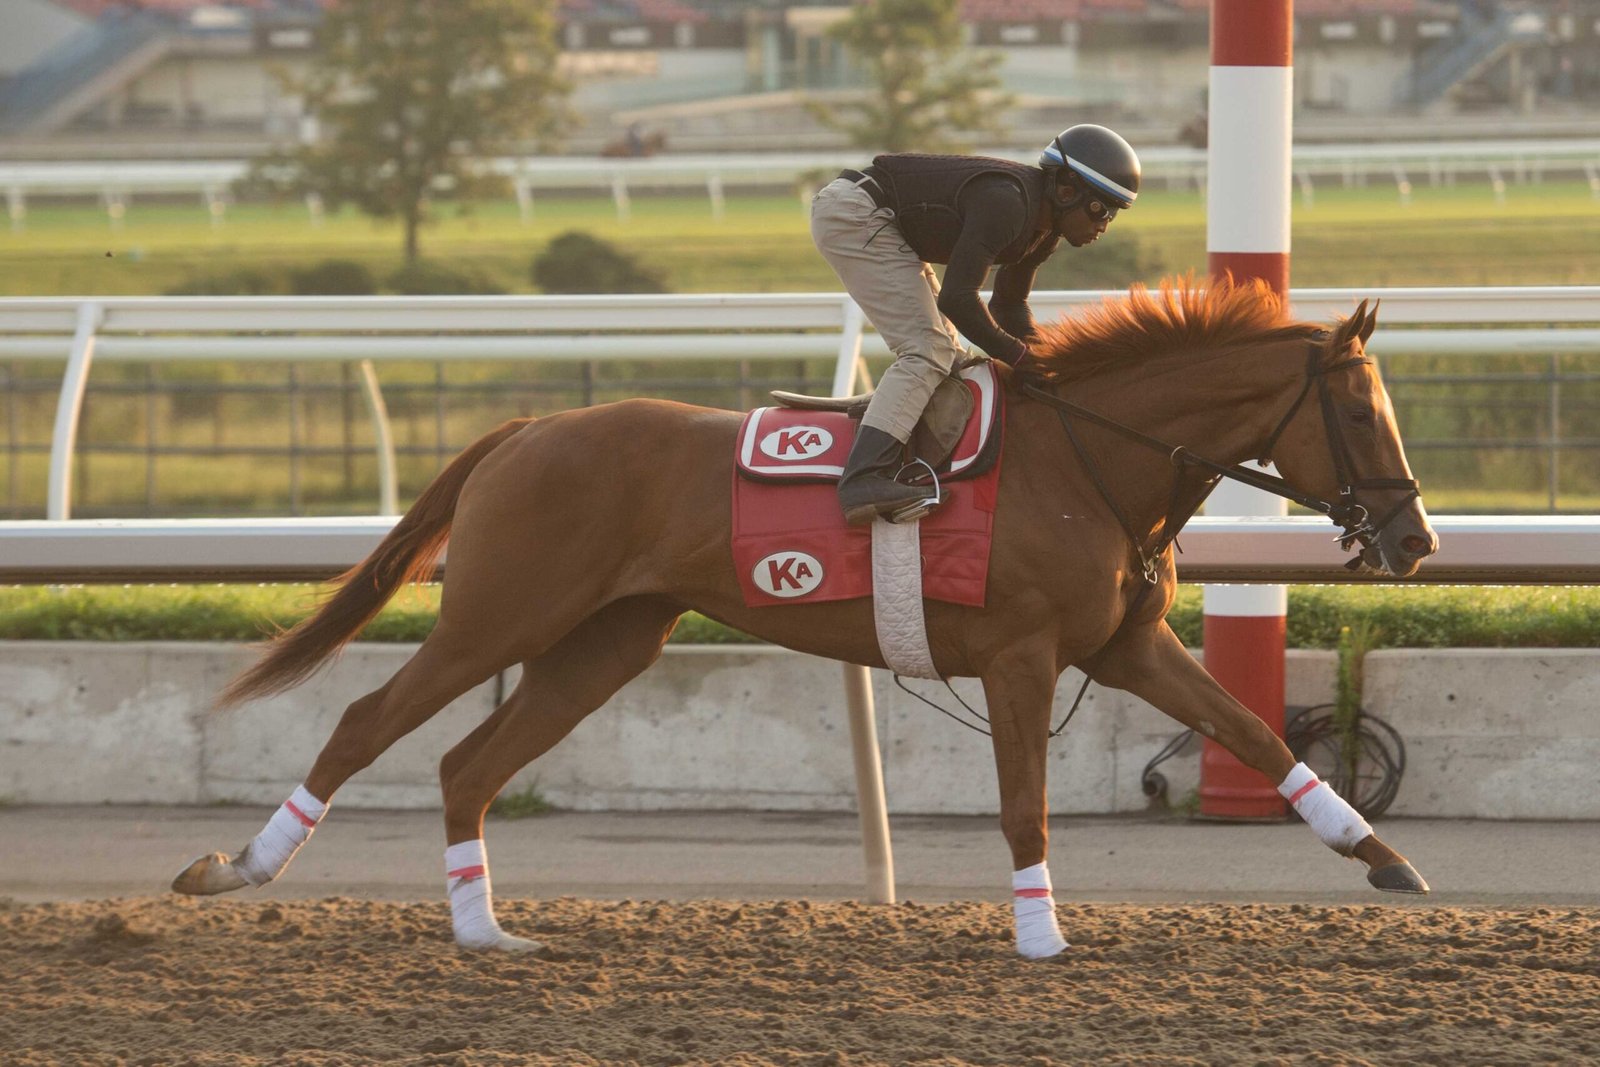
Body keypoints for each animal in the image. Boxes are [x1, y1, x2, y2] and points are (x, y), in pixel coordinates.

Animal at [175, 281, 1440, 959]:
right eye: (1359, 414)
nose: (1414, 538)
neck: (1086, 459)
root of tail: (528, 428)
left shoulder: (1124, 645)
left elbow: (1259, 732)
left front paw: (1382, 855)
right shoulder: (1022, 654)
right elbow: (1023, 801)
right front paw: (1040, 934)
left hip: (606, 640)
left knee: (465, 762)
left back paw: (485, 928)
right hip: (498, 616)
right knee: (367, 720)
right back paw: (240, 865)